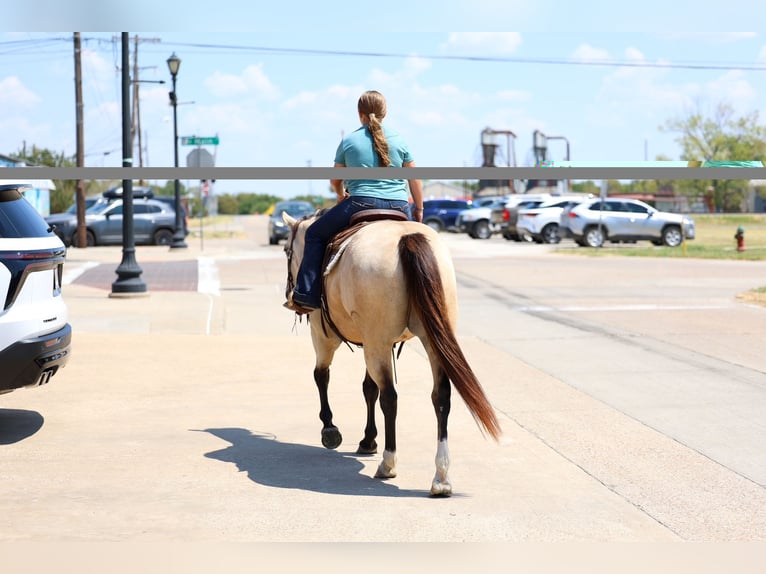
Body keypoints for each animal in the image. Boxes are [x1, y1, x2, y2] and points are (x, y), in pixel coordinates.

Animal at [282, 210, 502, 496]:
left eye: (286, 250)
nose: (289, 297)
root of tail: (407, 238)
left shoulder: (323, 333)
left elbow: (322, 376)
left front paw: (330, 430)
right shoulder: (370, 341)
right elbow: (368, 388)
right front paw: (367, 440)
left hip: (377, 342)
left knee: (390, 397)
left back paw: (388, 463)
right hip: (429, 340)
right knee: (441, 397)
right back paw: (441, 477)